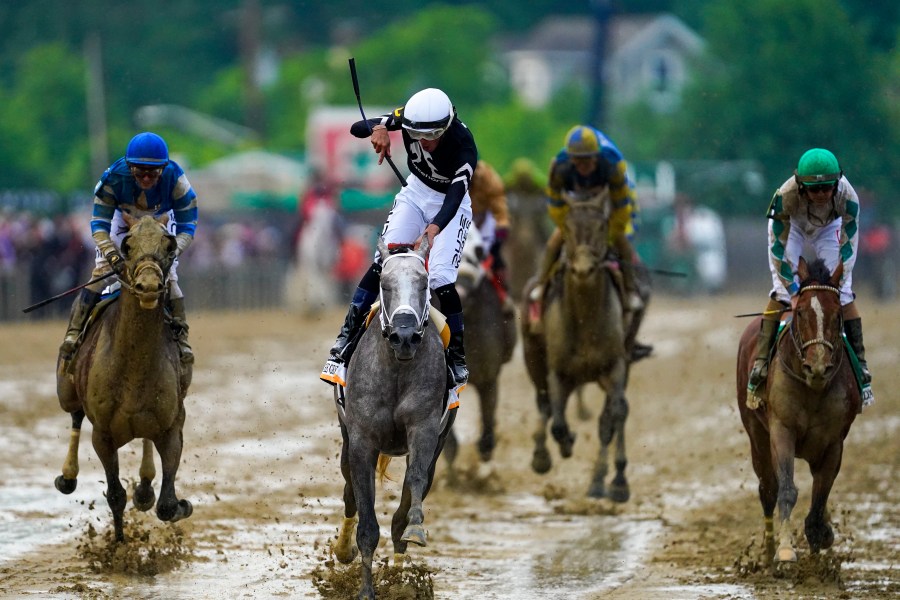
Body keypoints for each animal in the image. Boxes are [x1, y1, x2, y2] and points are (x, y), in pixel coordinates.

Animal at [330, 237, 458, 596]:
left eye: (424, 284)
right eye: (385, 285)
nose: (405, 336)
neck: (397, 368)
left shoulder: (425, 429)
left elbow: (413, 485)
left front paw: (413, 532)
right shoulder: (362, 440)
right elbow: (366, 520)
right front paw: (365, 590)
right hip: (347, 441)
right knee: (349, 493)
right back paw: (343, 549)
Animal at [520, 190, 632, 500]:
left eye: (602, 227)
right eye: (567, 228)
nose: (583, 269)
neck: (585, 318)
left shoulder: (615, 366)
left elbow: (615, 413)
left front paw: (614, 482)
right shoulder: (558, 372)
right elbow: (557, 422)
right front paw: (563, 444)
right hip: (534, 359)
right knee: (545, 404)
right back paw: (542, 455)